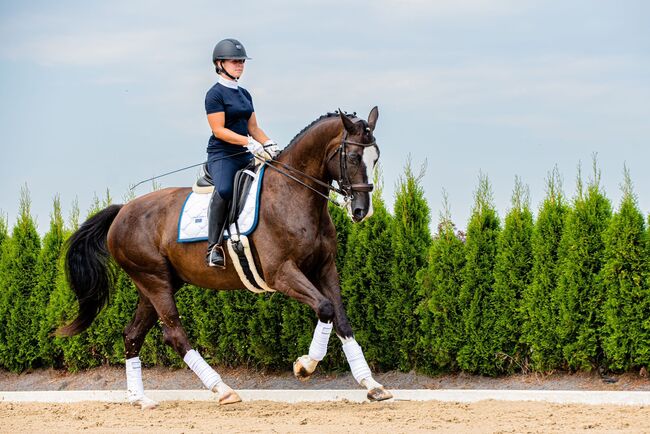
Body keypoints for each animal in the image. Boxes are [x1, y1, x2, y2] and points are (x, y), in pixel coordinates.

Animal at [57, 107, 390, 408]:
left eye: (375, 157)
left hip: (153, 285)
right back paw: (223, 390)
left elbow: (341, 319)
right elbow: (325, 308)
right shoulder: (281, 273)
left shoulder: (325, 268)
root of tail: (122, 211)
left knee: (132, 335)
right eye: (352, 157)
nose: (362, 211)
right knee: (174, 334)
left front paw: (372, 385)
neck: (293, 194)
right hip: (154, 280)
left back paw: (140, 398)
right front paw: (304, 366)